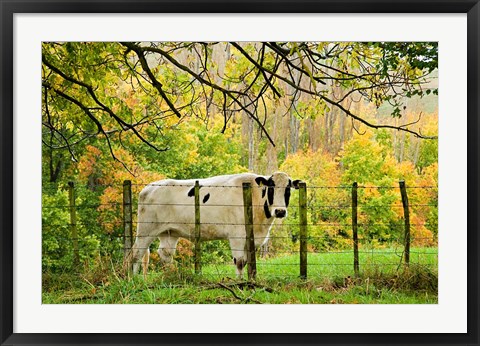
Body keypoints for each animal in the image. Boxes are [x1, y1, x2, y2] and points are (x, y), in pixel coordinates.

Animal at [129, 172, 298, 278]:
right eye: (271, 188)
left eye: (288, 189)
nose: (280, 211)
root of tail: (148, 187)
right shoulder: (236, 235)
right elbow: (239, 262)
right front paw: (240, 283)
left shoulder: (251, 238)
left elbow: (248, 261)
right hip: (146, 229)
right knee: (136, 253)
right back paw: (132, 279)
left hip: (169, 232)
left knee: (165, 254)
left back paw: (172, 276)